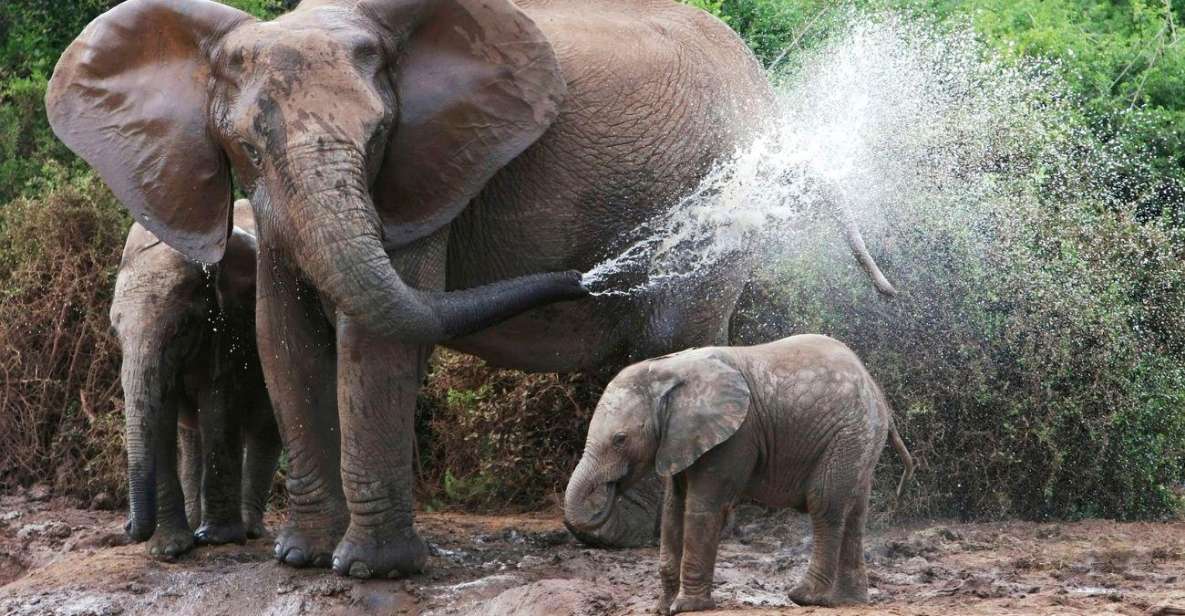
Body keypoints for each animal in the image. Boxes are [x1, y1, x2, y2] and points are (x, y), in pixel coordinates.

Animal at [111, 199, 281, 559]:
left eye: (182, 327)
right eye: (116, 331)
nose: (128, 527)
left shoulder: (229, 325)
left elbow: (217, 404)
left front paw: (217, 539)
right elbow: (162, 417)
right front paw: (168, 550)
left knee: (265, 426)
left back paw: (248, 529)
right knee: (191, 435)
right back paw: (194, 523)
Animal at [563, 335, 914, 613]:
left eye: (620, 439)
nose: (609, 489)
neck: (670, 369)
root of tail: (875, 387)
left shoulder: (734, 437)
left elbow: (703, 508)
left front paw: (687, 606)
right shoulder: (681, 439)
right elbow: (674, 510)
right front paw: (662, 608)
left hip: (847, 433)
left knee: (825, 504)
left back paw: (805, 596)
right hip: (861, 439)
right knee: (854, 512)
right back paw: (848, 600)